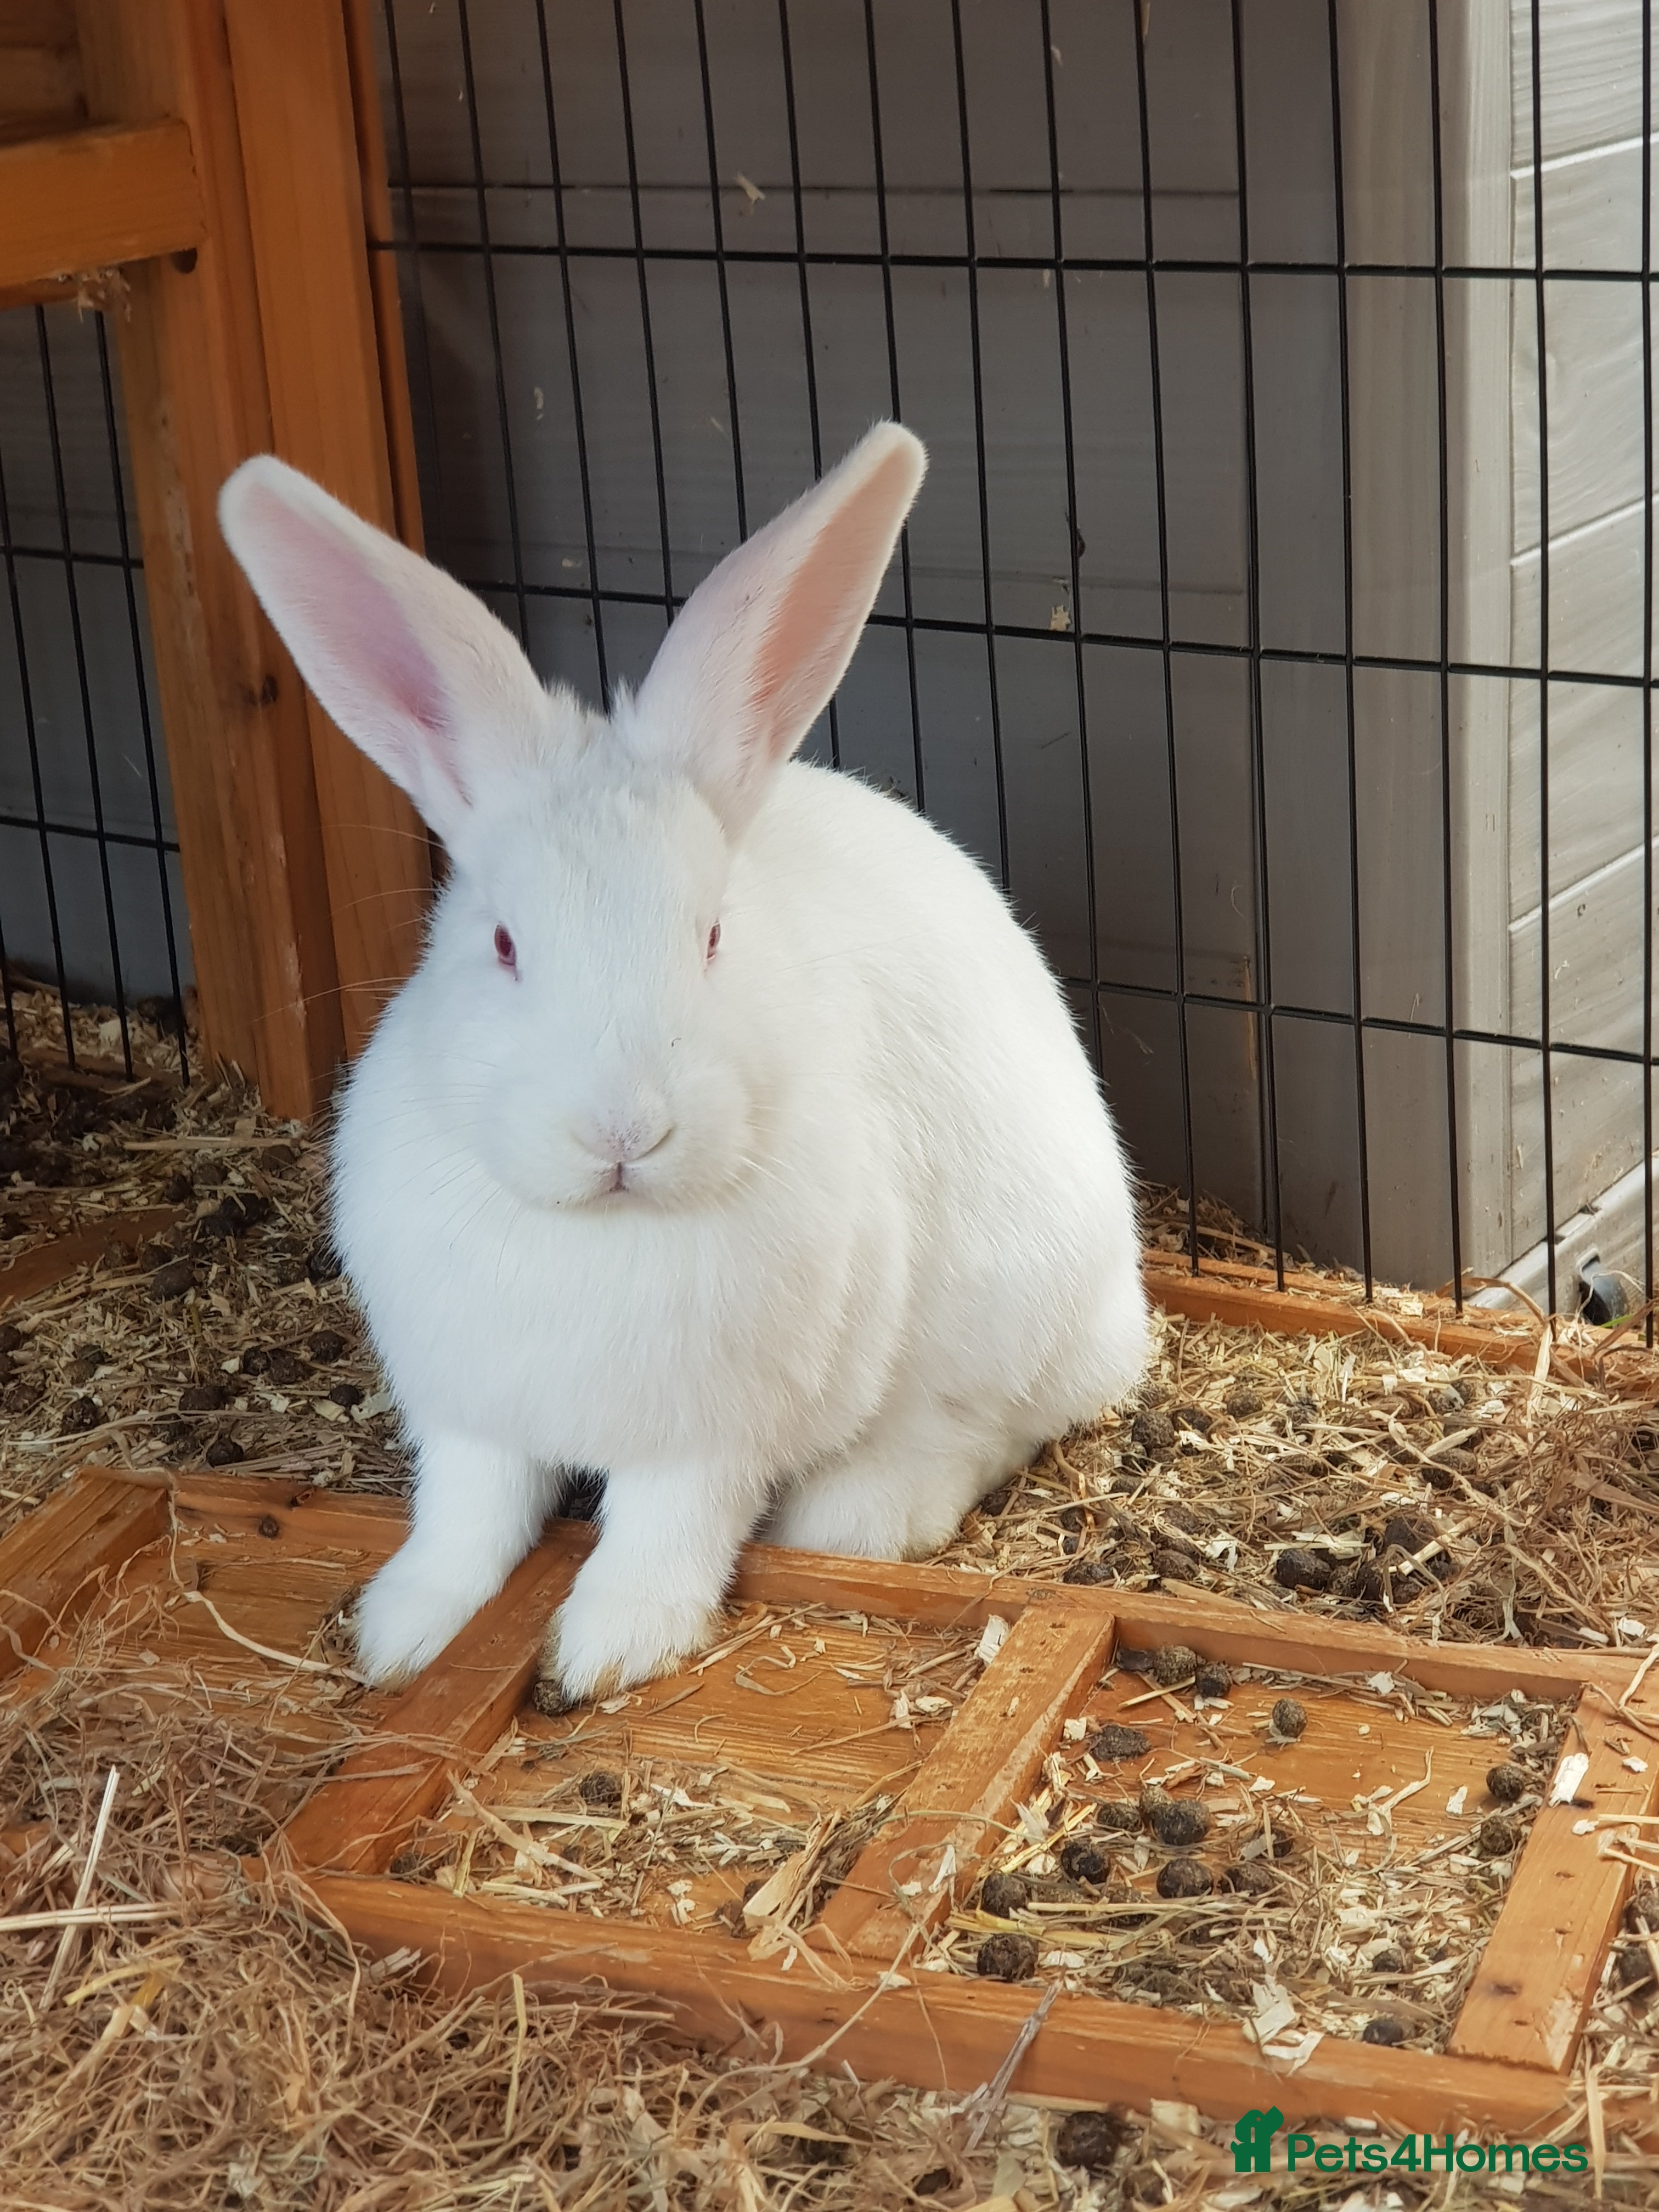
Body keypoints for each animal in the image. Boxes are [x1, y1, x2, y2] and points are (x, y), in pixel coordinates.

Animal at [218, 424, 1150, 1702]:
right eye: (501, 943)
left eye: (711, 936)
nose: (623, 1132)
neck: (597, 1230)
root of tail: (1124, 1310)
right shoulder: (471, 1410)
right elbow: (466, 1516)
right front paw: (405, 1631)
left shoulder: (706, 1440)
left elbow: (664, 1532)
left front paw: (609, 1648)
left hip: (1020, 1302)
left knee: (987, 1422)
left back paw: (866, 1507)